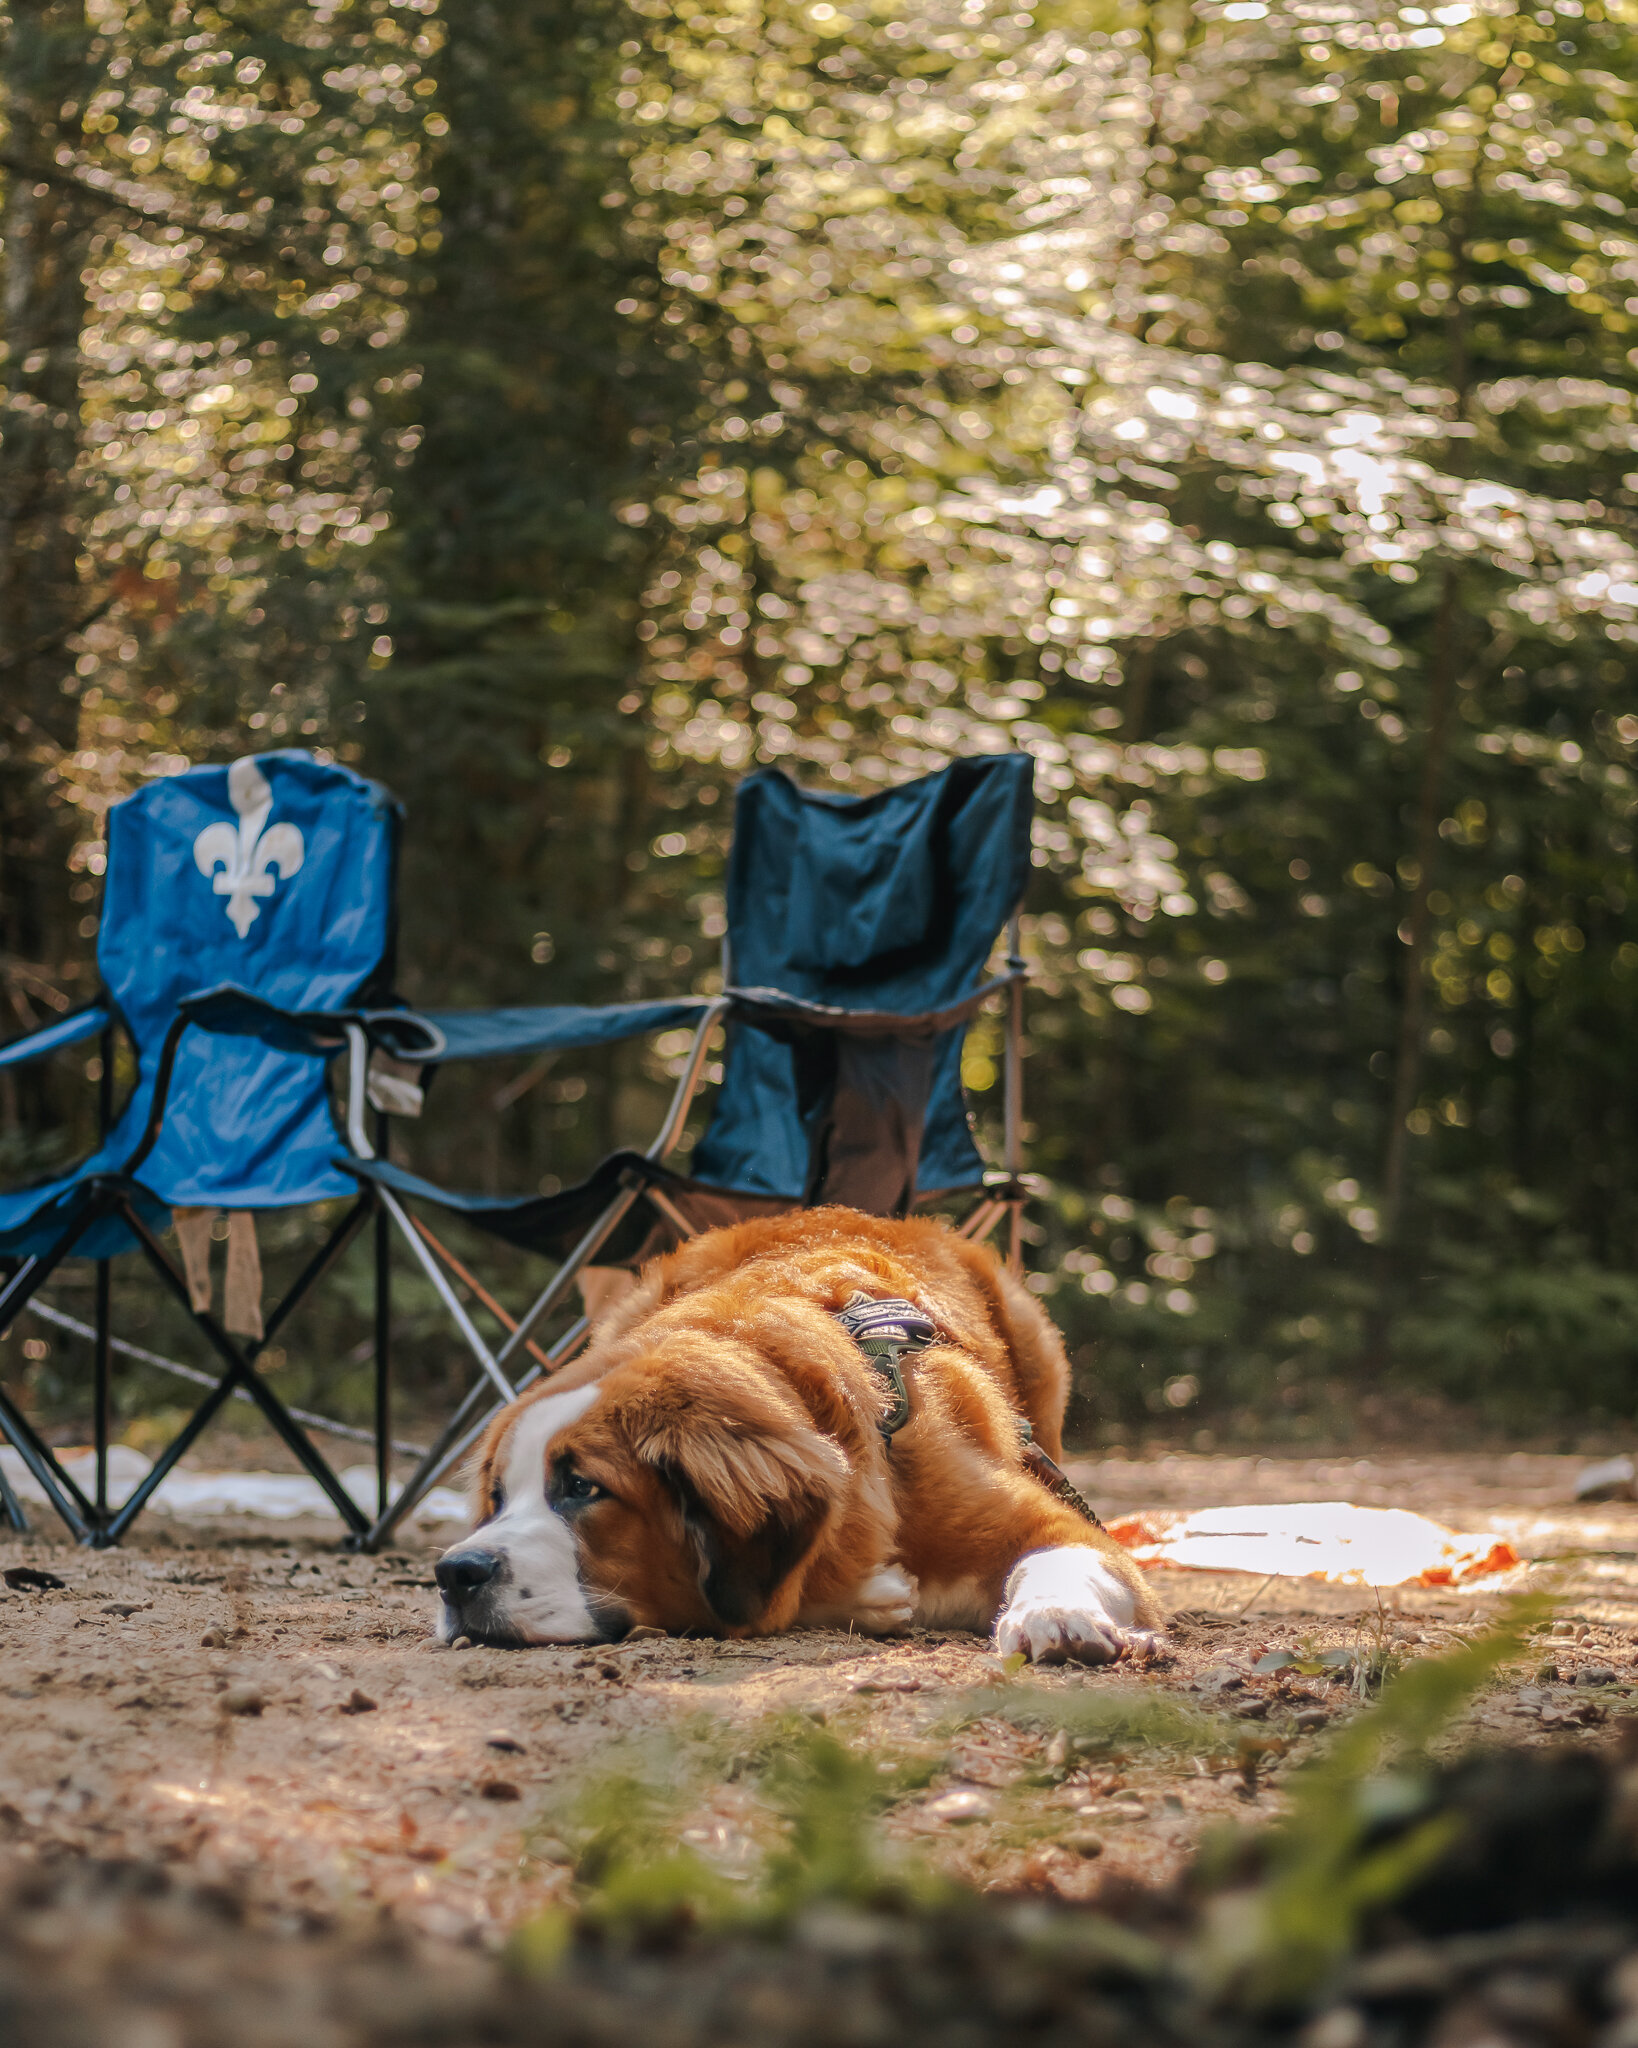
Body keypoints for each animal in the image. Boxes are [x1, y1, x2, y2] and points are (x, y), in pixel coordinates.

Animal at [427, 1212, 1154, 1662]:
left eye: (582, 1488)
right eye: (497, 1500)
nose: (454, 1573)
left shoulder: (1055, 1526)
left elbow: (1062, 1552)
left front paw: (1053, 1613)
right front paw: (874, 1596)